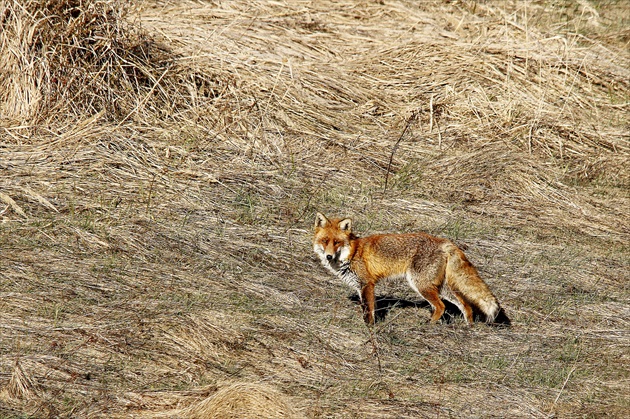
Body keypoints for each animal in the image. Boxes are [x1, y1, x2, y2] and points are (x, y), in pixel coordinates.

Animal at [314, 213, 512, 328]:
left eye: (337, 242)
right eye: (325, 241)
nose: (329, 257)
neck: (352, 253)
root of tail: (443, 241)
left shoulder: (367, 284)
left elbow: (369, 310)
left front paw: (370, 328)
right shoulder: (360, 286)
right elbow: (366, 307)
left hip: (420, 284)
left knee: (441, 306)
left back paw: (429, 324)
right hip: (442, 287)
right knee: (465, 304)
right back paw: (468, 326)